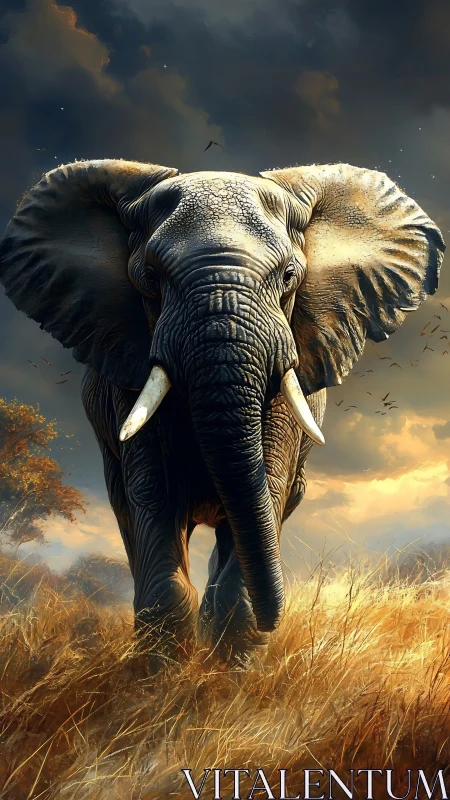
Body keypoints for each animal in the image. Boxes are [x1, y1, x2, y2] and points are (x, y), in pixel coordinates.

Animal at [0, 159, 445, 665]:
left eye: (289, 276)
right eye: (149, 276)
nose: (277, 619)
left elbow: (265, 487)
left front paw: (230, 667)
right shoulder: (125, 375)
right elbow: (154, 494)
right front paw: (160, 674)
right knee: (129, 509)